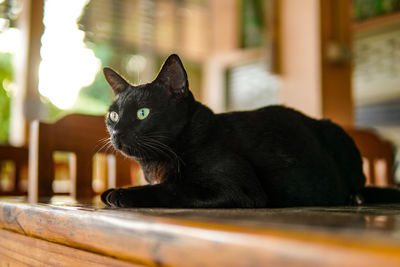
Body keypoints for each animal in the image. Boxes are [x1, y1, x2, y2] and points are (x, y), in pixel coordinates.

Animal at [101, 55, 400, 209]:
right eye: (113, 115)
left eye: (143, 113)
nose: (117, 133)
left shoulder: (236, 189)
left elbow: (171, 188)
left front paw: (121, 193)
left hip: (339, 135)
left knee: (360, 184)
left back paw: (357, 197)